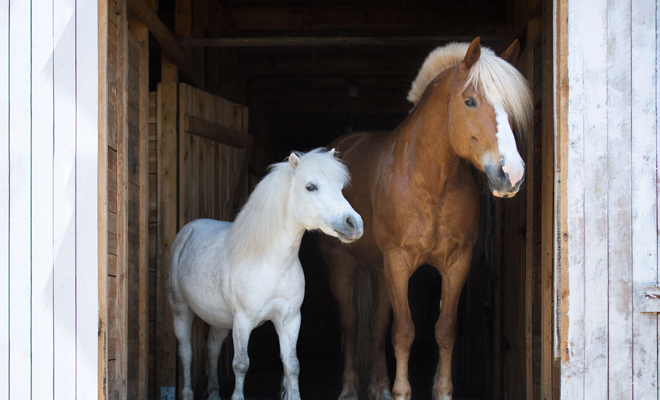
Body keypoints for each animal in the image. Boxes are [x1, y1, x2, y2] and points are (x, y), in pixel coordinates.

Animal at [167, 148, 364, 400]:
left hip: (220, 319)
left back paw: (213, 393)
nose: (354, 224)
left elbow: (292, 366)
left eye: (340, 187)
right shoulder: (243, 321)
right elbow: (241, 365)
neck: (273, 264)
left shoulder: (290, 320)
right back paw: (187, 394)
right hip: (181, 310)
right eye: (311, 187)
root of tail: (189, 230)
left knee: (212, 349)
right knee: (186, 352)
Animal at [318, 37, 532, 400]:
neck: (432, 182)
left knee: (376, 324)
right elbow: (404, 331)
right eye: (470, 101)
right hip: (341, 263)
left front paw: (440, 391)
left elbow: (444, 330)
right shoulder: (398, 261)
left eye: (510, 108)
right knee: (350, 323)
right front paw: (402, 392)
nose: (512, 174)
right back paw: (349, 389)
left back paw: (379, 387)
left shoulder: (457, 262)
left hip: (378, 268)